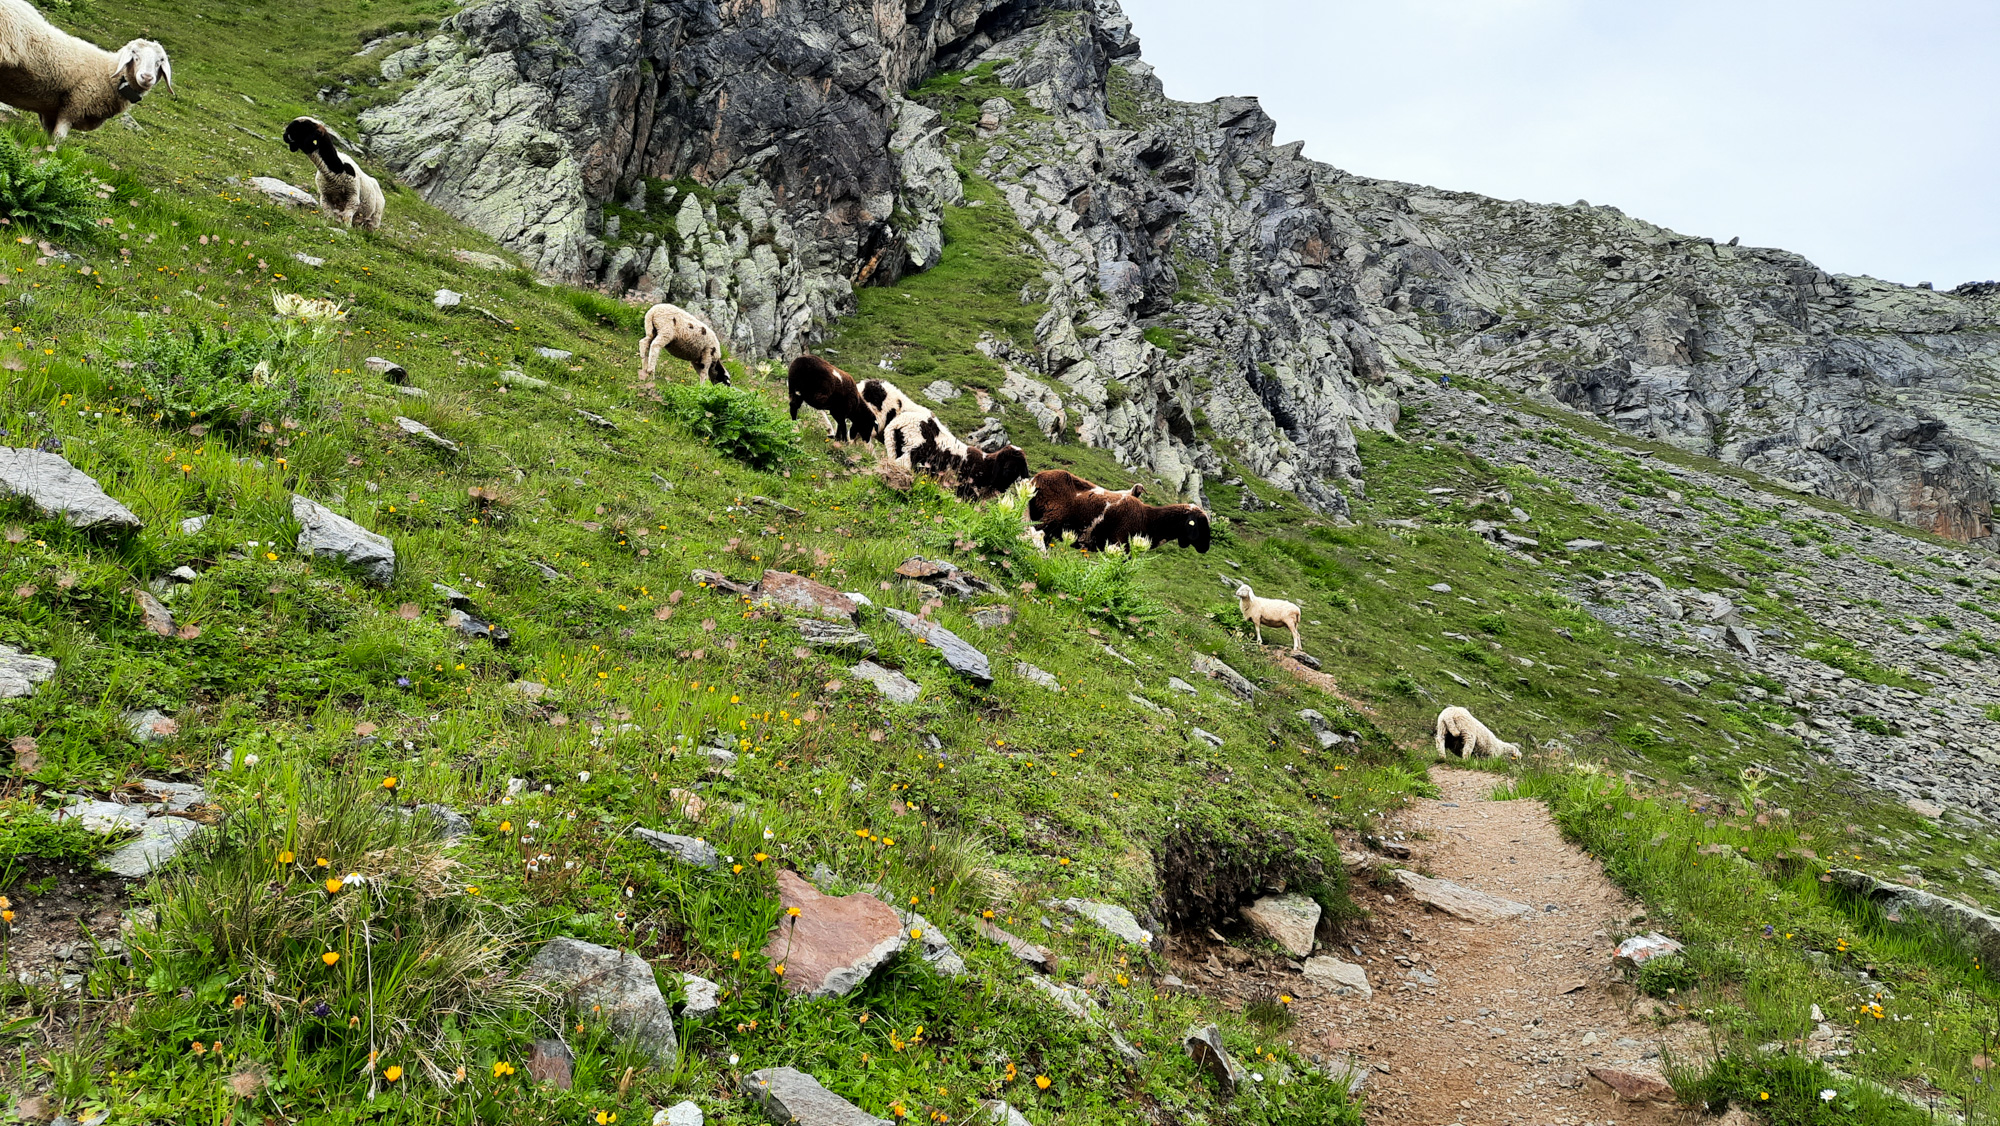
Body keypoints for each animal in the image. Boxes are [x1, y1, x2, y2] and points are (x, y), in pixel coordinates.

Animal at [0, 0, 170, 143]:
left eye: (160, 60)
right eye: (134, 53)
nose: (147, 77)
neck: (107, 72)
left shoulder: (50, 113)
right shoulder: (74, 105)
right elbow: (57, 141)